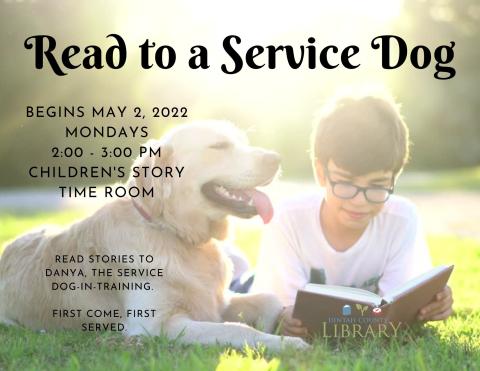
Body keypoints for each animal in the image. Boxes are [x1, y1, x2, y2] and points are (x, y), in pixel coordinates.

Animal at [0, 121, 308, 352]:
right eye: (219, 146)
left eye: (242, 141)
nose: (276, 158)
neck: (174, 232)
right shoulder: (155, 324)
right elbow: (235, 329)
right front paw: (286, 342)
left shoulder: (217, 302)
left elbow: (269, 298)